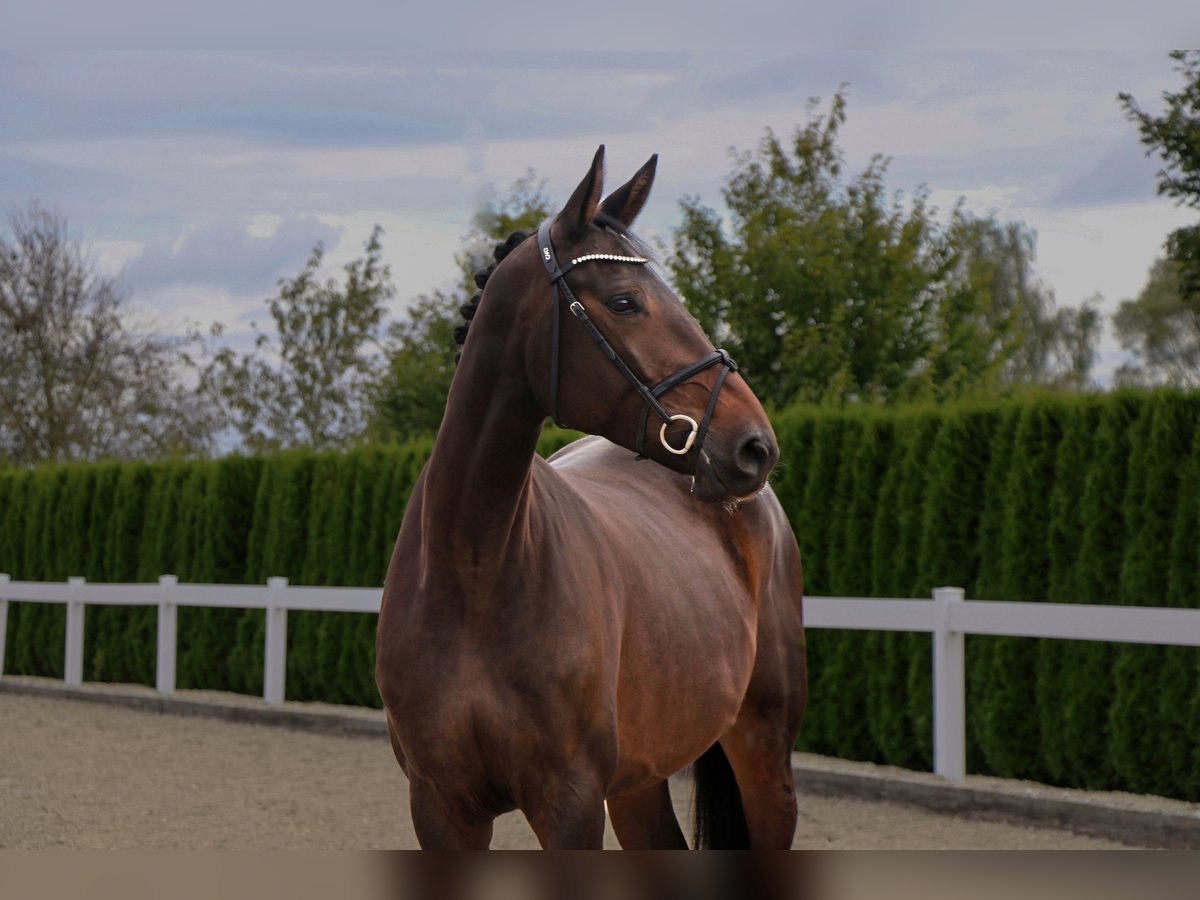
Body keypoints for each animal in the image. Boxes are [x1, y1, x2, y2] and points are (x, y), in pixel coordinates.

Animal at [374, 148, 806, 854]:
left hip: (764, 753)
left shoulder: (569, 803)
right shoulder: (440, 809)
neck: (475, 572)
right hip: (637, 780)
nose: (754, 446)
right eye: (626, 301)